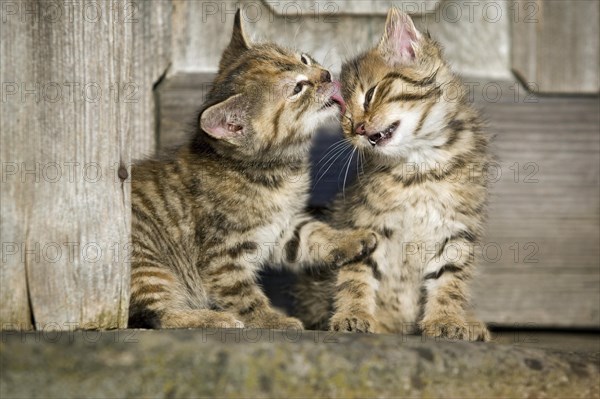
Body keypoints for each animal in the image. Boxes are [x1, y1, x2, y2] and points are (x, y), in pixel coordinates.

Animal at [129, 10, 378, 332]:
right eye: (297, 89)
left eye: (304, 59)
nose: (325, 75)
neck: (273, 173)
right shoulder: (222, 257)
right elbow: (244, 296)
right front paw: (272, 320)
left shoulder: (283, 228)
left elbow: (314, 234)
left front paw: (349, 239)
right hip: (148, 265)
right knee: (161, 315)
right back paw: (213, 318)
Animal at [294, 8, 488, 340]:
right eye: (345, 116)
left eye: (370, 95)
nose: (357, 129)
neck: (418, 168)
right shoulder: (366, 223)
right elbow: (355, 275)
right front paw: (354, 315)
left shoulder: (456, 229)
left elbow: (450, 280)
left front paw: (447, 320)